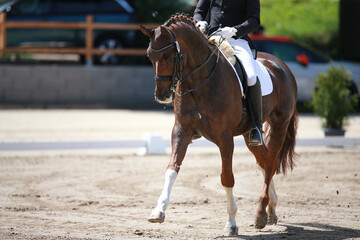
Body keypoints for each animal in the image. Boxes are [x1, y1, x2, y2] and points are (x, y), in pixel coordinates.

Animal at [139, 14, 296, 235]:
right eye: (150, 56)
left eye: (169, 56)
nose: (161, 96)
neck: (199, 80)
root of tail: (282, 66)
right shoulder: (181, 130)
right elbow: (172, 169)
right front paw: (158, 211)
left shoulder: (225, 138)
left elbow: (227, 178)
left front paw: (231, 223)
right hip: (250, 134)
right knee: (265, 162)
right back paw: (271, 209)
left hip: (279, 125)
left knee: (272, 162)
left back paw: (260, 213)